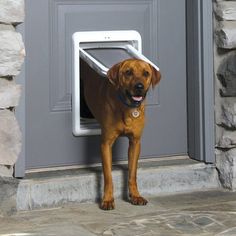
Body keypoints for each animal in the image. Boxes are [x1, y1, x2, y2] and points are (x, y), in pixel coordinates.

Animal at [81, 58, 160, 209]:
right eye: (128, 72)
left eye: (146, 73)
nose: (139, 86)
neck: (127, 107)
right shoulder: (105, 144)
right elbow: (108, 175)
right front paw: (107, 199)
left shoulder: (135, 142)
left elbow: (132, 173)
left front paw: (135, 195)